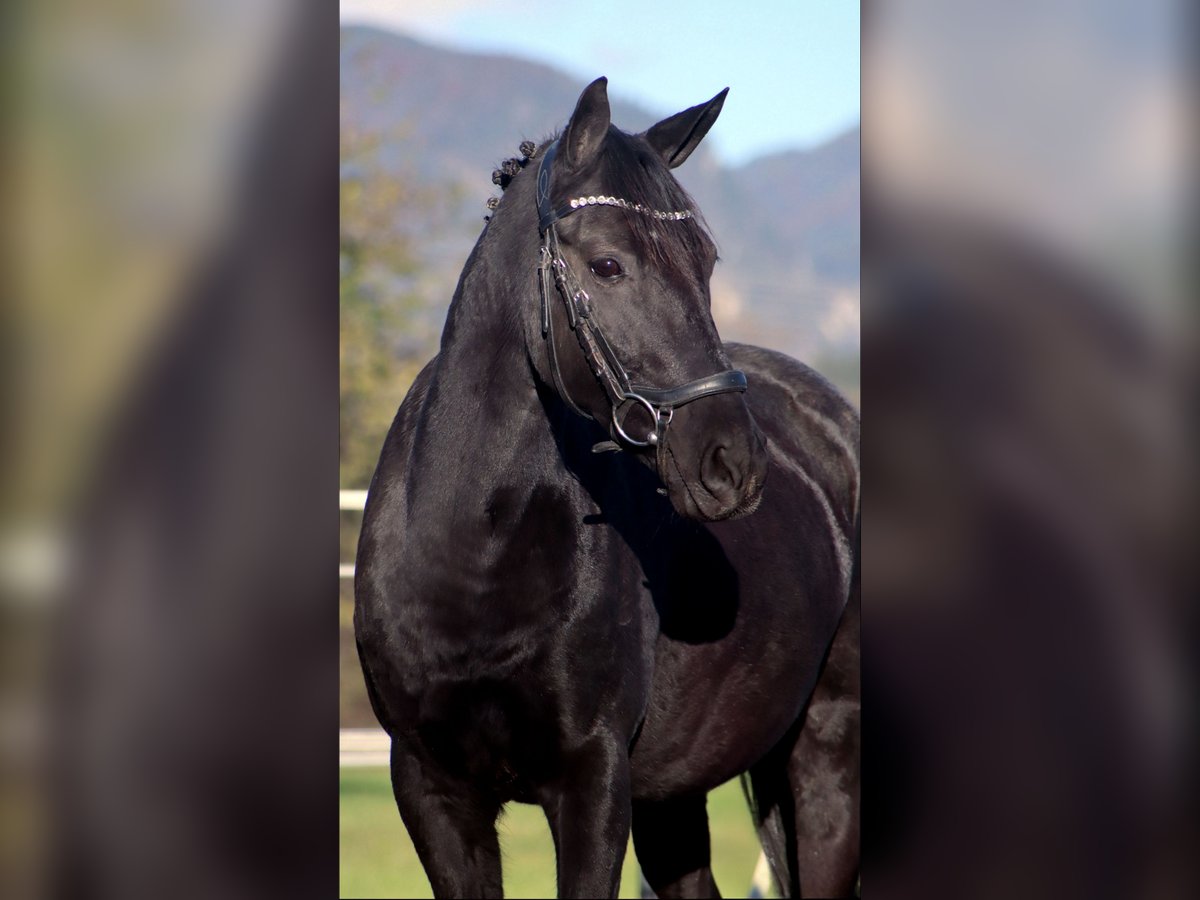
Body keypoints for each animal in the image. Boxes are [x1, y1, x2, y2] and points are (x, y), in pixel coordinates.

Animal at [354, 77, 860, 898]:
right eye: (607, 266)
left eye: (706, 261)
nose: (730, 462)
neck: (471, 558)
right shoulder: (432, 791)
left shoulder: (592, 784)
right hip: (677, 793)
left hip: (825, 753)